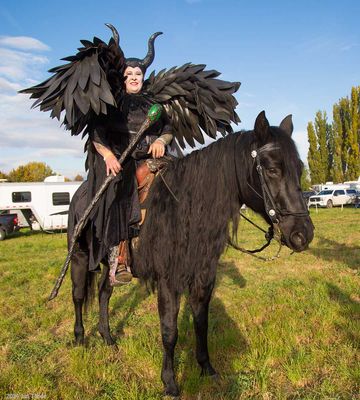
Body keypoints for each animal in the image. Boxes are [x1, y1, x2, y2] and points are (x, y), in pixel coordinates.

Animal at [69, 110, 314, 396]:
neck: (186, 207)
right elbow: (169, 331)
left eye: (299, 169)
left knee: (103, 293)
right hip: (79, 257)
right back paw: (79, 338)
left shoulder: (203, 279)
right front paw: (170, 382)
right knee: (78, 296)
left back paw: (107, 337)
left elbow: (201, 323)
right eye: (273, 169)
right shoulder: (168, 282)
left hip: (110, 267)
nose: (303, 234)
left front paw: (206, 368)